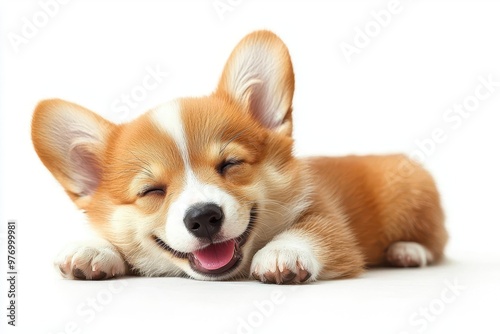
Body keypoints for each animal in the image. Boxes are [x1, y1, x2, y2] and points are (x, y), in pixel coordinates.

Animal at [31, 30, 448, 284]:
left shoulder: (331, 223)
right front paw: (91, 248)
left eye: (230, 165)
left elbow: (313, 231)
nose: (203, 218)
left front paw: (282, 252)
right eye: (152, 191)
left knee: (436, 240)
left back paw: (407, 251)